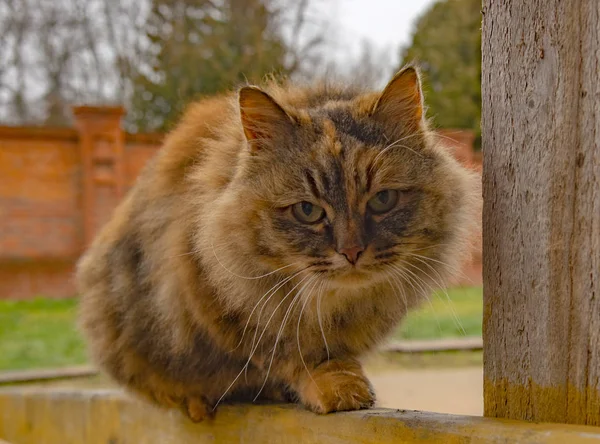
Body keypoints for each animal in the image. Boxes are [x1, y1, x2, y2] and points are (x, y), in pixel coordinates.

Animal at [76, 65, 478, 420]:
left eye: (382, 200)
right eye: (307, 210)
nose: (351, 252)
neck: (336, 306)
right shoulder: (227, 303)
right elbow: (292, 354)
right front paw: (336, 386)